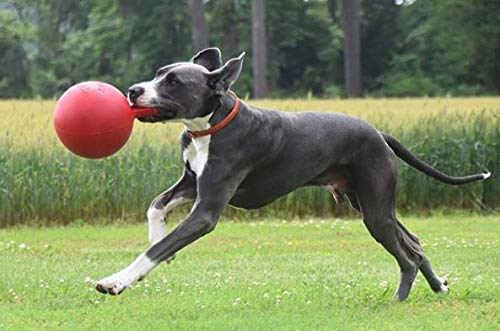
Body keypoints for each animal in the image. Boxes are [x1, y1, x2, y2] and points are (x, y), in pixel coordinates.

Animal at [95, 48, 490, 300]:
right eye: (158, 74)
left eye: (173, 81)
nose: (133, 89)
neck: (209, 126)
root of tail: (379, 133)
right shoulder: (192, 182)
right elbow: (155, 206)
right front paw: (157, 236)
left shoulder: (207, 209)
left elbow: (155, 250)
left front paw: (116, 281)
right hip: (369, 202)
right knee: (415, 243)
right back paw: (439, 286)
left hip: (375, 209)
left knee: (406, 257)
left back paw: (398, 300)